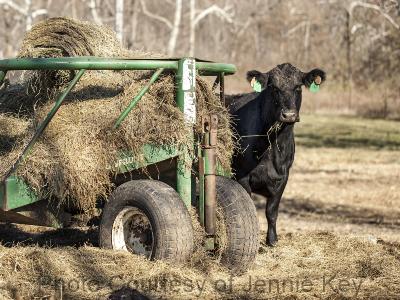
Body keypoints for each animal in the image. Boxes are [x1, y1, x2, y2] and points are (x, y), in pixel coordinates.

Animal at [227, 62, 324, 246]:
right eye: (273, 88)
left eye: (298, 87)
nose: (289, 115)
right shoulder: (242, 176)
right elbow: (249, 205)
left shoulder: (283, 176)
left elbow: (272, 211)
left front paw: (272, 240)